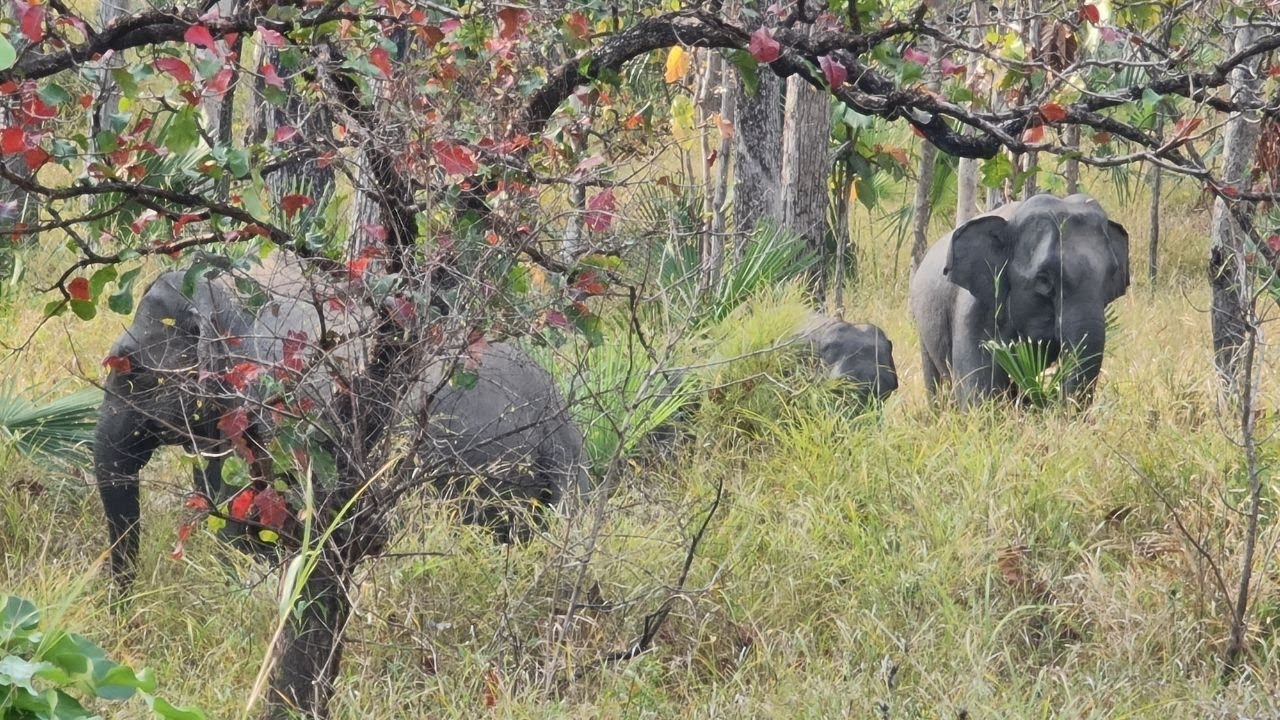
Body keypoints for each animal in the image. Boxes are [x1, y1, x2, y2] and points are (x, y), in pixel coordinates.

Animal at [95, 261, 589, 590]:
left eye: (129, 369)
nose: (122, 603)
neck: (218, 287)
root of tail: (558, 426)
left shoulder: (259, 401)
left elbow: (238, 501)